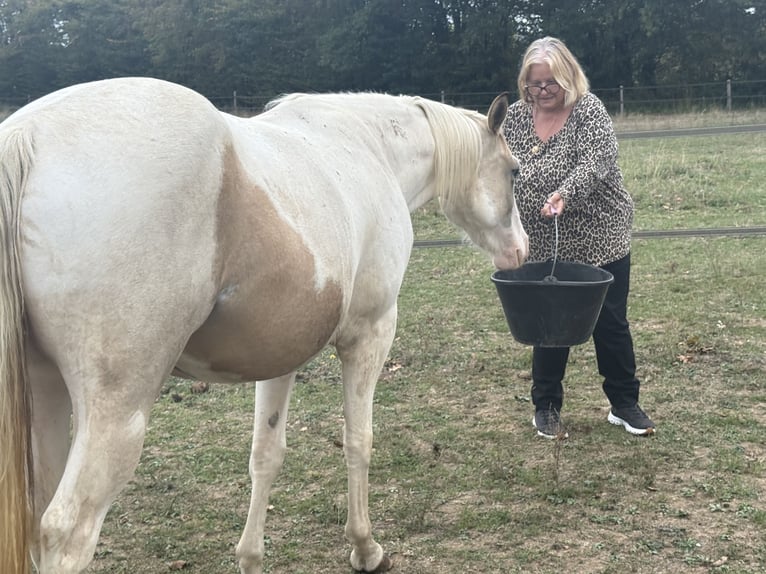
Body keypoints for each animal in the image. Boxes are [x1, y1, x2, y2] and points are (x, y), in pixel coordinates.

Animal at [0, 77, 527, 574]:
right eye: (514, 171)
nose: (520, 250)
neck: (367, 147)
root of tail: (29, 135)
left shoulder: (282, 358)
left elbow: (266, 456)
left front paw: (251, 557)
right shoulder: (369, 335)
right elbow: (358, 440)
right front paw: (365, 549)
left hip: (45, 392)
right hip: (116, 414)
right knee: (67, 530)